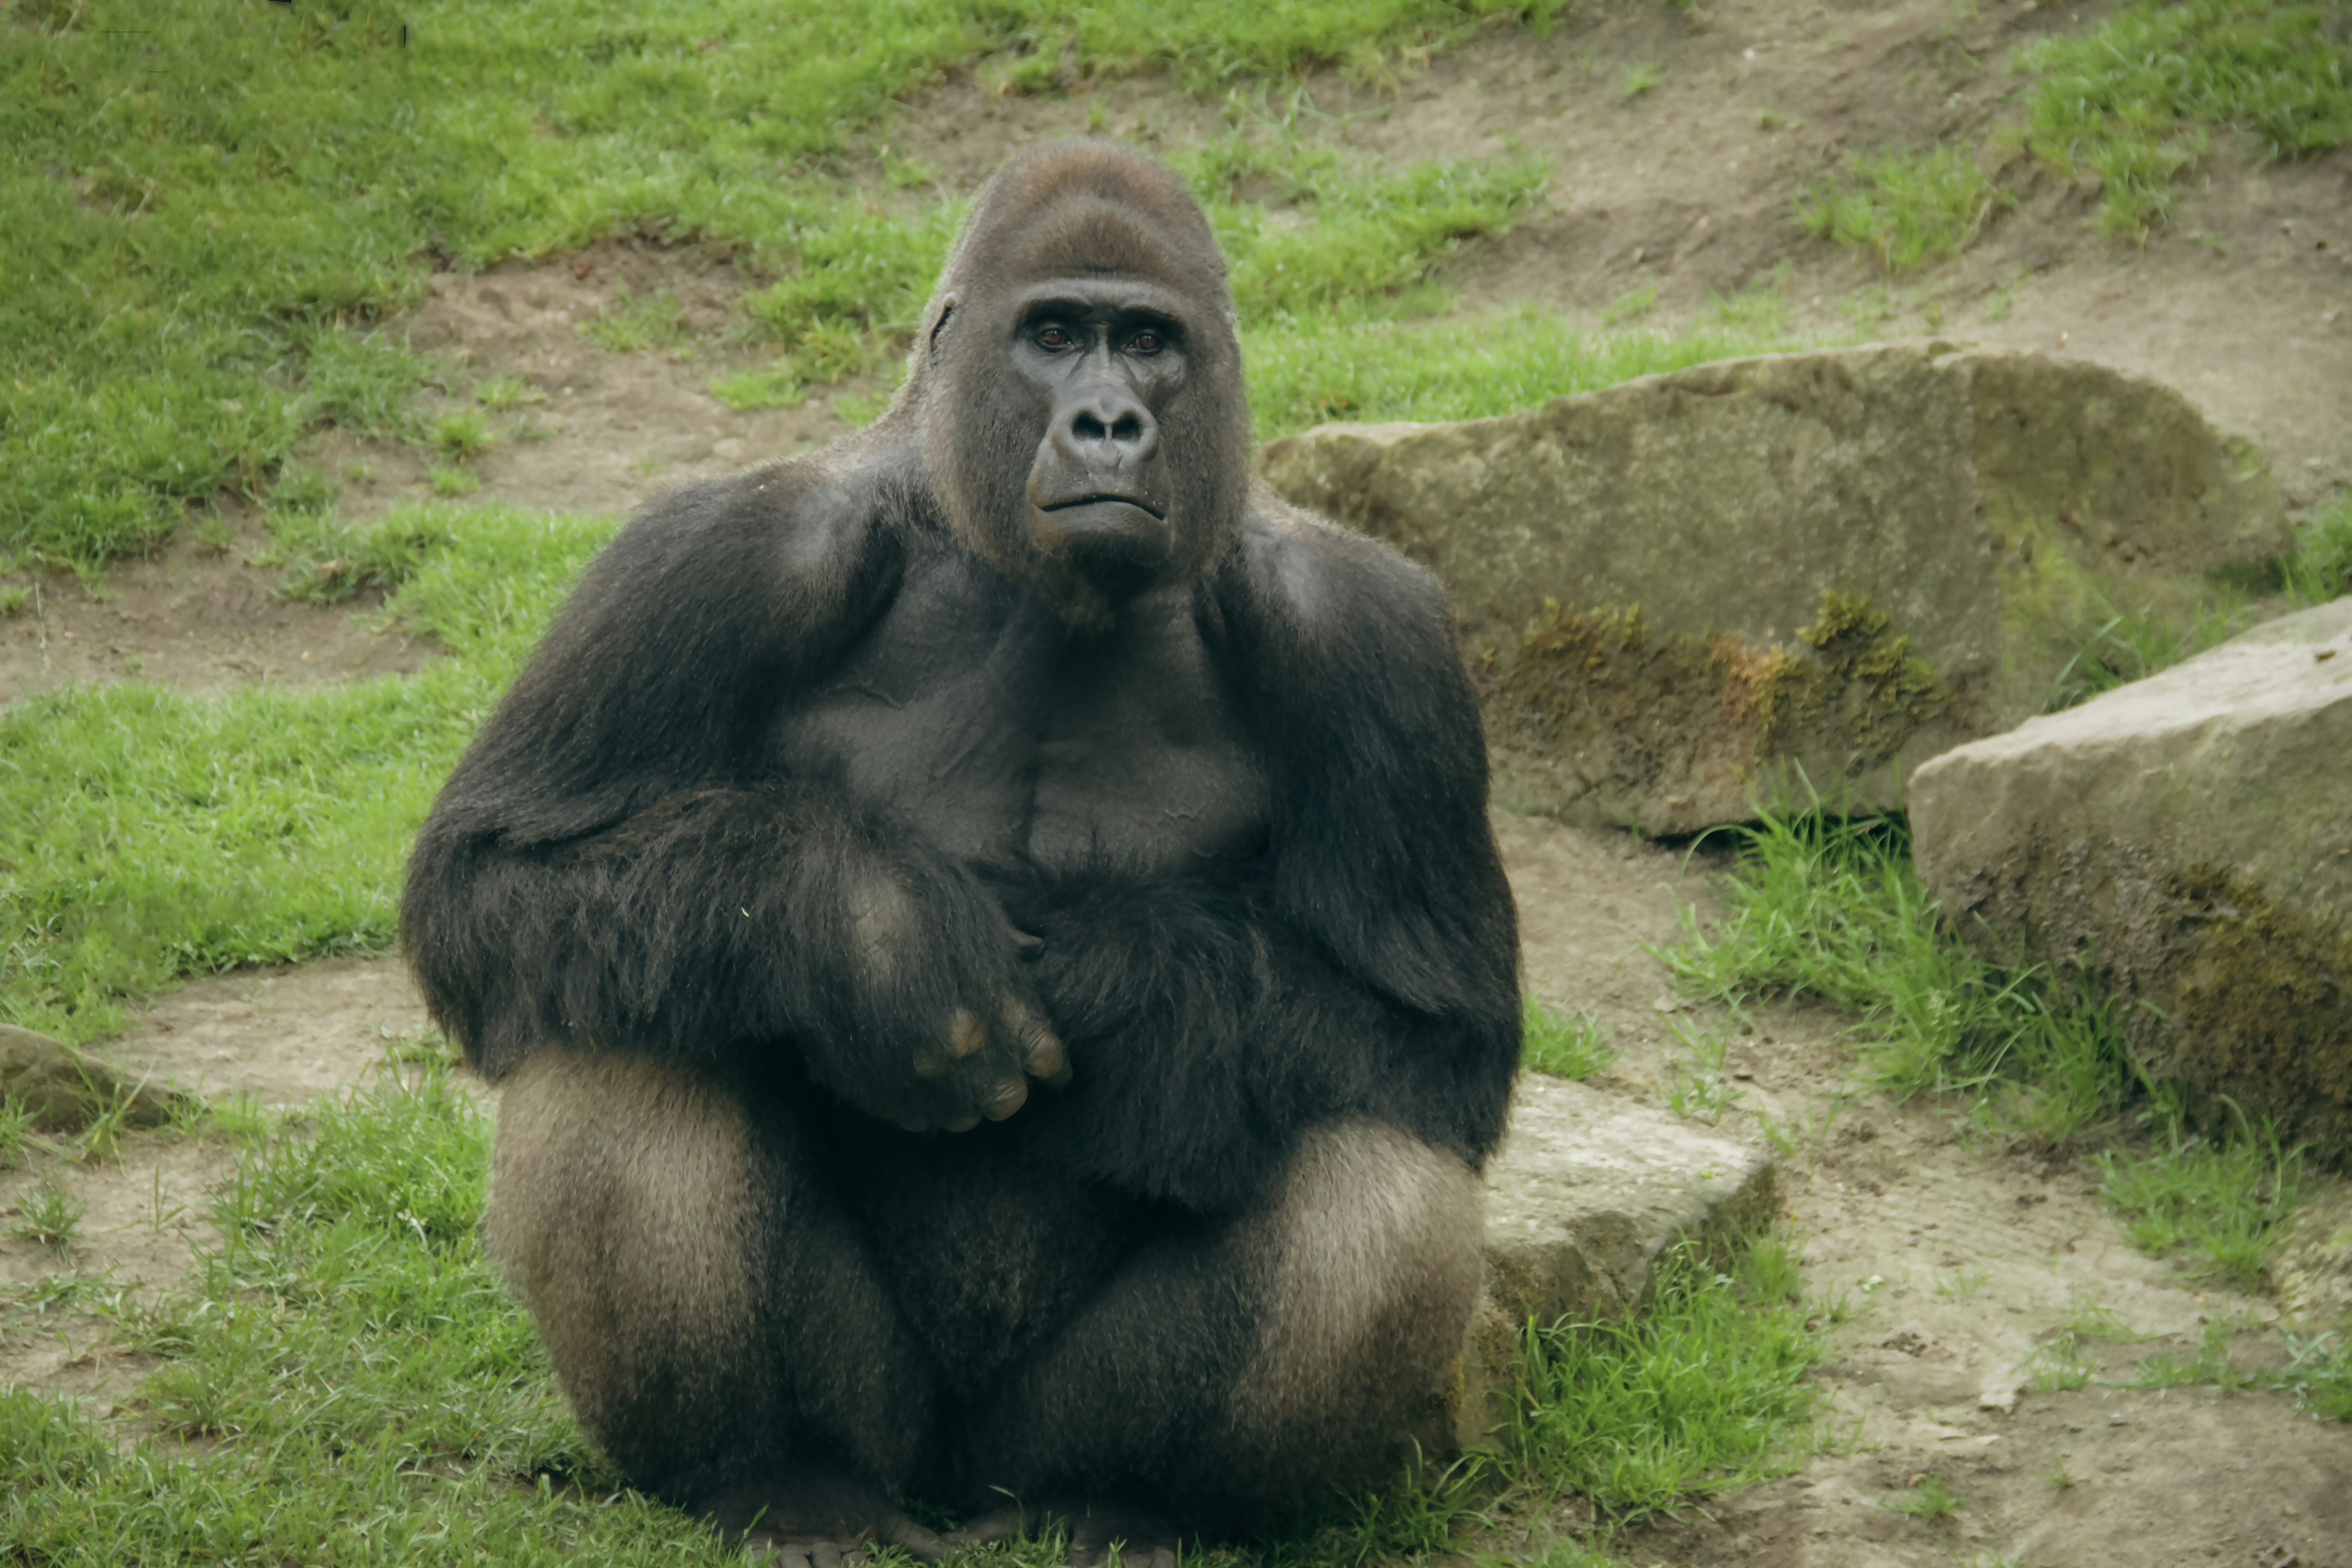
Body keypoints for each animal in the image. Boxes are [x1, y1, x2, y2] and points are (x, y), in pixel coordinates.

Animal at [401, 140, 1521, 1568]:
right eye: (1052, 337)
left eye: (1146, 343)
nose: (1109, 423)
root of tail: (948, 1490)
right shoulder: (723, 550)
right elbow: (490, 880)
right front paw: (867, 933)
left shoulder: (1369, 635)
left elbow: (1442, 1040)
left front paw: (1149, 993)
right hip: (888, 1422)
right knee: (623, 1017)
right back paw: (778, 1476)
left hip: (1027, 1445)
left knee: (1375, 1156)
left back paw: (1128, 1501)